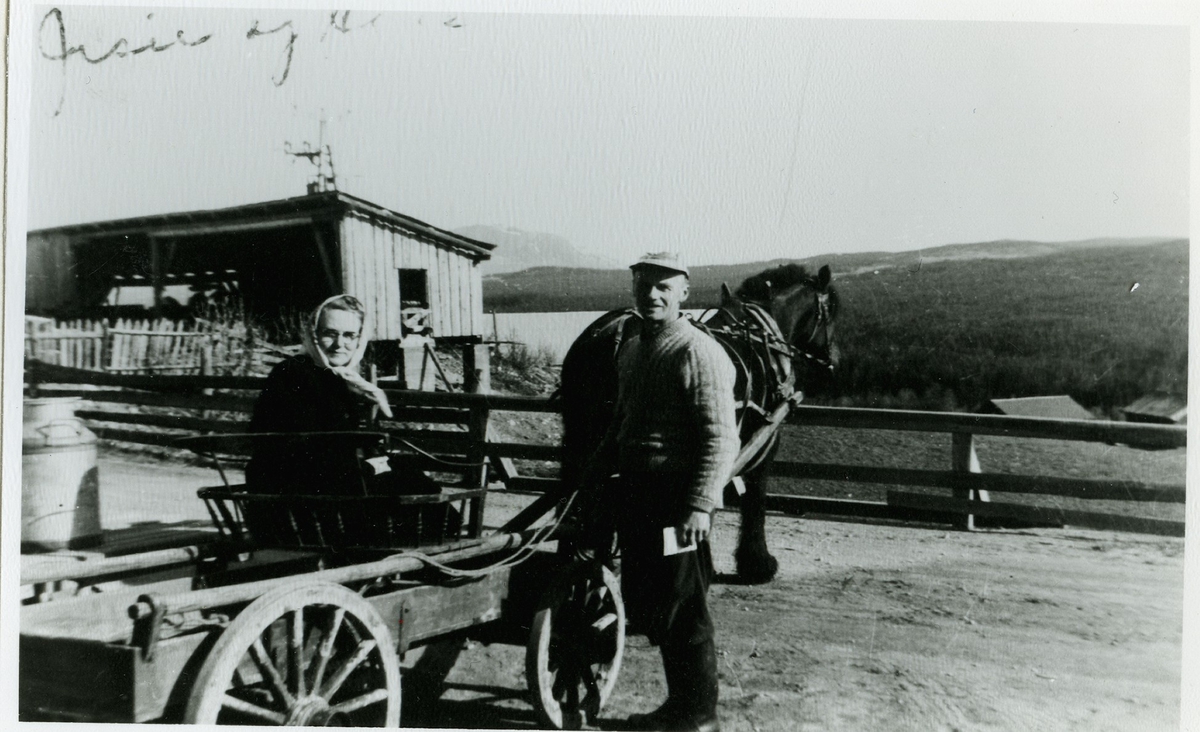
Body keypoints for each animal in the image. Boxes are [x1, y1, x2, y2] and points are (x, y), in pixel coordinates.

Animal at [556, 261, 840, 580]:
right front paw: (757, 562)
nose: (835, 361)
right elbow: (754, 497)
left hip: (580, 436)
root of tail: (610, 334)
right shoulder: (763, 440)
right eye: (830, 312)